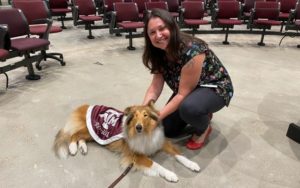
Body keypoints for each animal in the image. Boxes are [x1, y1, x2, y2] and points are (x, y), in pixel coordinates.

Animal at [52, 101, 200, 182]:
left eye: (145, 115)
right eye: (134, 116)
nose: (138, 127)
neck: (146, 134)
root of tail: (86, 106)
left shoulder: (160, 142)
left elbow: (178, 154)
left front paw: (192, 164)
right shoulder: (136, 156)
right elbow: (156, 165)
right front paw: (170, 174)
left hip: (92, 134)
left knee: (80, 137)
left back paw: (83, 148)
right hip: (90, 130)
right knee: (74, 135)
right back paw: (73, 148)